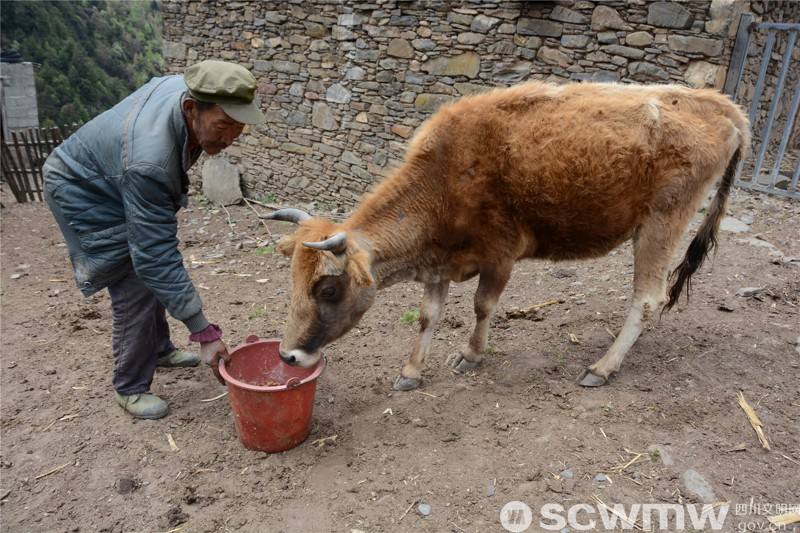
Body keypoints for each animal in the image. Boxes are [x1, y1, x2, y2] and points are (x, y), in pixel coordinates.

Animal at [262, 82, 752, 390]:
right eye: (292, 281)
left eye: (327, 288)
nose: (287, 357)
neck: (445, 177)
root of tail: (718, 103)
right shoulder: (439, 263)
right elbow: (428, 316)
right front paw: (411, 371)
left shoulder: (500, 256)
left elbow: (482, 306)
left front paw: (471, 355)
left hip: (661, 224)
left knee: (646, 299)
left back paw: (601, 367)